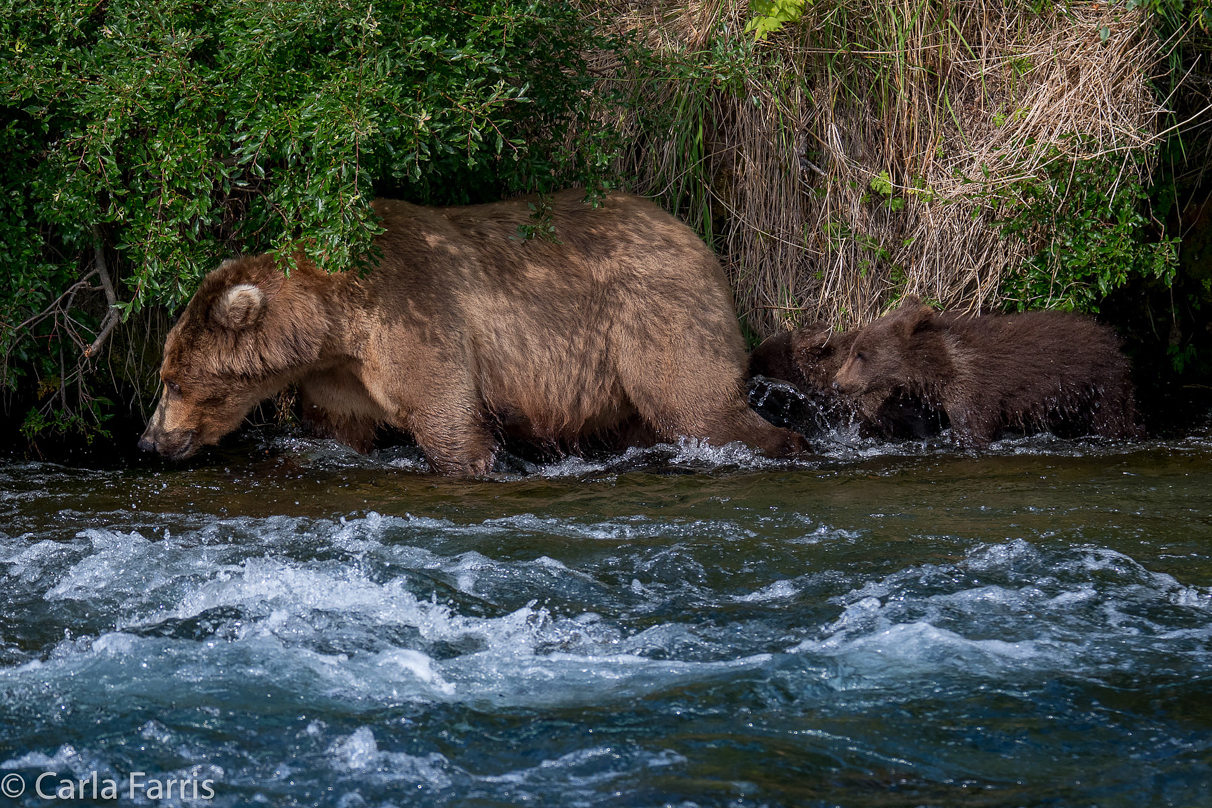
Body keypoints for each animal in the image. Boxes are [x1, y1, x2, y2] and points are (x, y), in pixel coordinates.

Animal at [139, 188, 804, 474]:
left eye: (174, 381)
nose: (150, 440)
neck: (336, 323)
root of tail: (694, 234)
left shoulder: (416, 318)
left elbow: (447, 418)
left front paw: (474, 464)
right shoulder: (338, 374)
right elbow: (337, 429)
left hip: (653, 312)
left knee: (695, 401)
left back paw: (783, 445)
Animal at [829, 296, 1139, 448]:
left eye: (860, 354)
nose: (837, 382)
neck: (938, 367)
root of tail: (1113, 339)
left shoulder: (971, 389)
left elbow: (972, 428)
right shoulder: (921, 395)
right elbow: (911, 418)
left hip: (1102, 385)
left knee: (1114, 420)